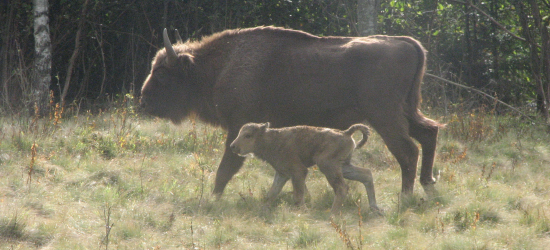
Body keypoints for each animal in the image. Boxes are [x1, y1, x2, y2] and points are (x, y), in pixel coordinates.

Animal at [141, 25, 444, 199]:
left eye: (163, 73)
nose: (143, 100)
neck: (220, 66)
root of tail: (407, 43)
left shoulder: (237, 129)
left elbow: (225, 168)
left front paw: (213, 198)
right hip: (406, 112)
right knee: (429, 134)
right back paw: (428, 185)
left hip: (386, 117)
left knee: (408, 151)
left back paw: (405, 196)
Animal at [229, 122, 380, 214]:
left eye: (248, 135)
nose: (233, 146)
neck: (271, 139)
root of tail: (346, 133)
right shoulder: (282, 173)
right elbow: (271, 193)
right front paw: (263, 209)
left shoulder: (299, 172)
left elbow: (298, 195)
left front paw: (303, 211)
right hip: (343, 166)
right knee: (366, 174)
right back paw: (375, 208)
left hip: (327, 165)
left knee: (342, 188)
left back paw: (332, 214)